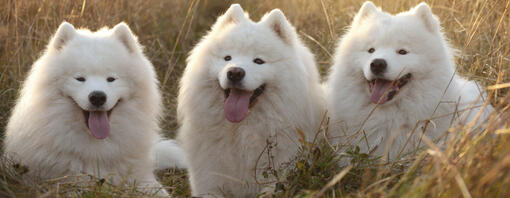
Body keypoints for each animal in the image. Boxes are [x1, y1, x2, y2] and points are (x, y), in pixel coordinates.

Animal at [177, 3, 324, 197]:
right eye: (227, 58)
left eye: (259, 61)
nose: (235, 72)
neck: (241, 133)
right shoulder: (209, 181)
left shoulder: (279, 175)